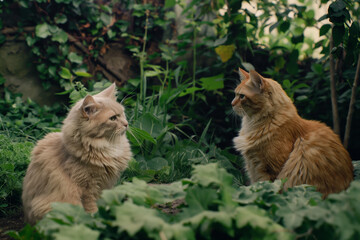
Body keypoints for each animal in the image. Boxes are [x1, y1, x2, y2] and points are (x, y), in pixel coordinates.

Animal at [21, 83, 131, 224]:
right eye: (113, 118)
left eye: (122, 114)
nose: (126, 124)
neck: (106, 146)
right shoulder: (87, 188)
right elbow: (92, 209)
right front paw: (97, 221)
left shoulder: (106, 186)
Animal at [232, 68, 352, 196]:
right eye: (235, 94)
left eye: (242, 96)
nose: (231, 104)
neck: (253, 125)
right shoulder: (253, 168)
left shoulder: (270, 170)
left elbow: (266, 191)